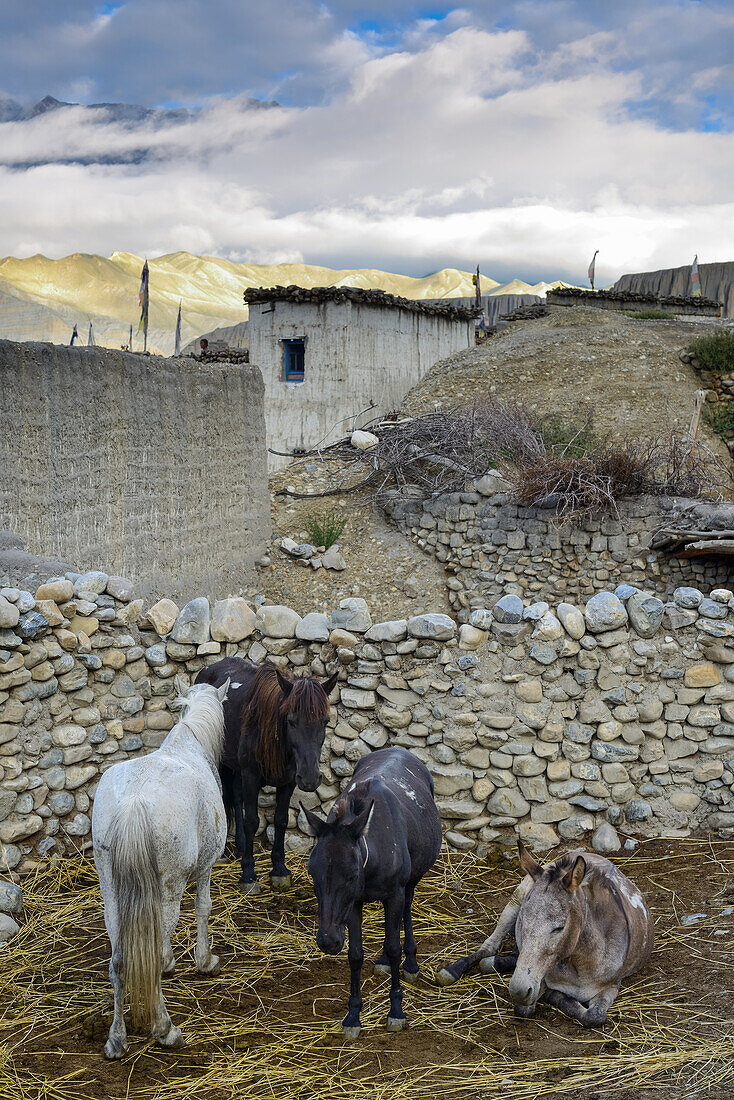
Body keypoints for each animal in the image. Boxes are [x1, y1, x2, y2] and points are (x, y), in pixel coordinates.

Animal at [91, 673, 229, 1060]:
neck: (190, 743)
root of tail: (134, 802)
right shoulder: (206, 867)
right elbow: (203, 908)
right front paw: (203, 960)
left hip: (112, 894)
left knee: (120, 961)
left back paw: (117, 1039)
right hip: (168, 888)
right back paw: (165, 1029)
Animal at [192, 655, 336, 888]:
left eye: (325, 721)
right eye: (291, 721)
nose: (310, 779)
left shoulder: (288, 781)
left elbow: (281, 820)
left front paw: (279, 868)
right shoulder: (251, 775)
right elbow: (252, 821)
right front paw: (248, 872)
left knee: (236, 797)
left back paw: (241, 845)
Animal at [299, 743, 440, 1034]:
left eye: (351, 875)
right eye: (312, 873)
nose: (327, 941)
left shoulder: (395, 893)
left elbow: (395, 945)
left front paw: (396, 1010)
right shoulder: (354, 903)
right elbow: (355, 954)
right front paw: (353, 1014)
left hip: (410, 883)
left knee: (406, 914)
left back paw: (410, 962)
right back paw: (383, 960)